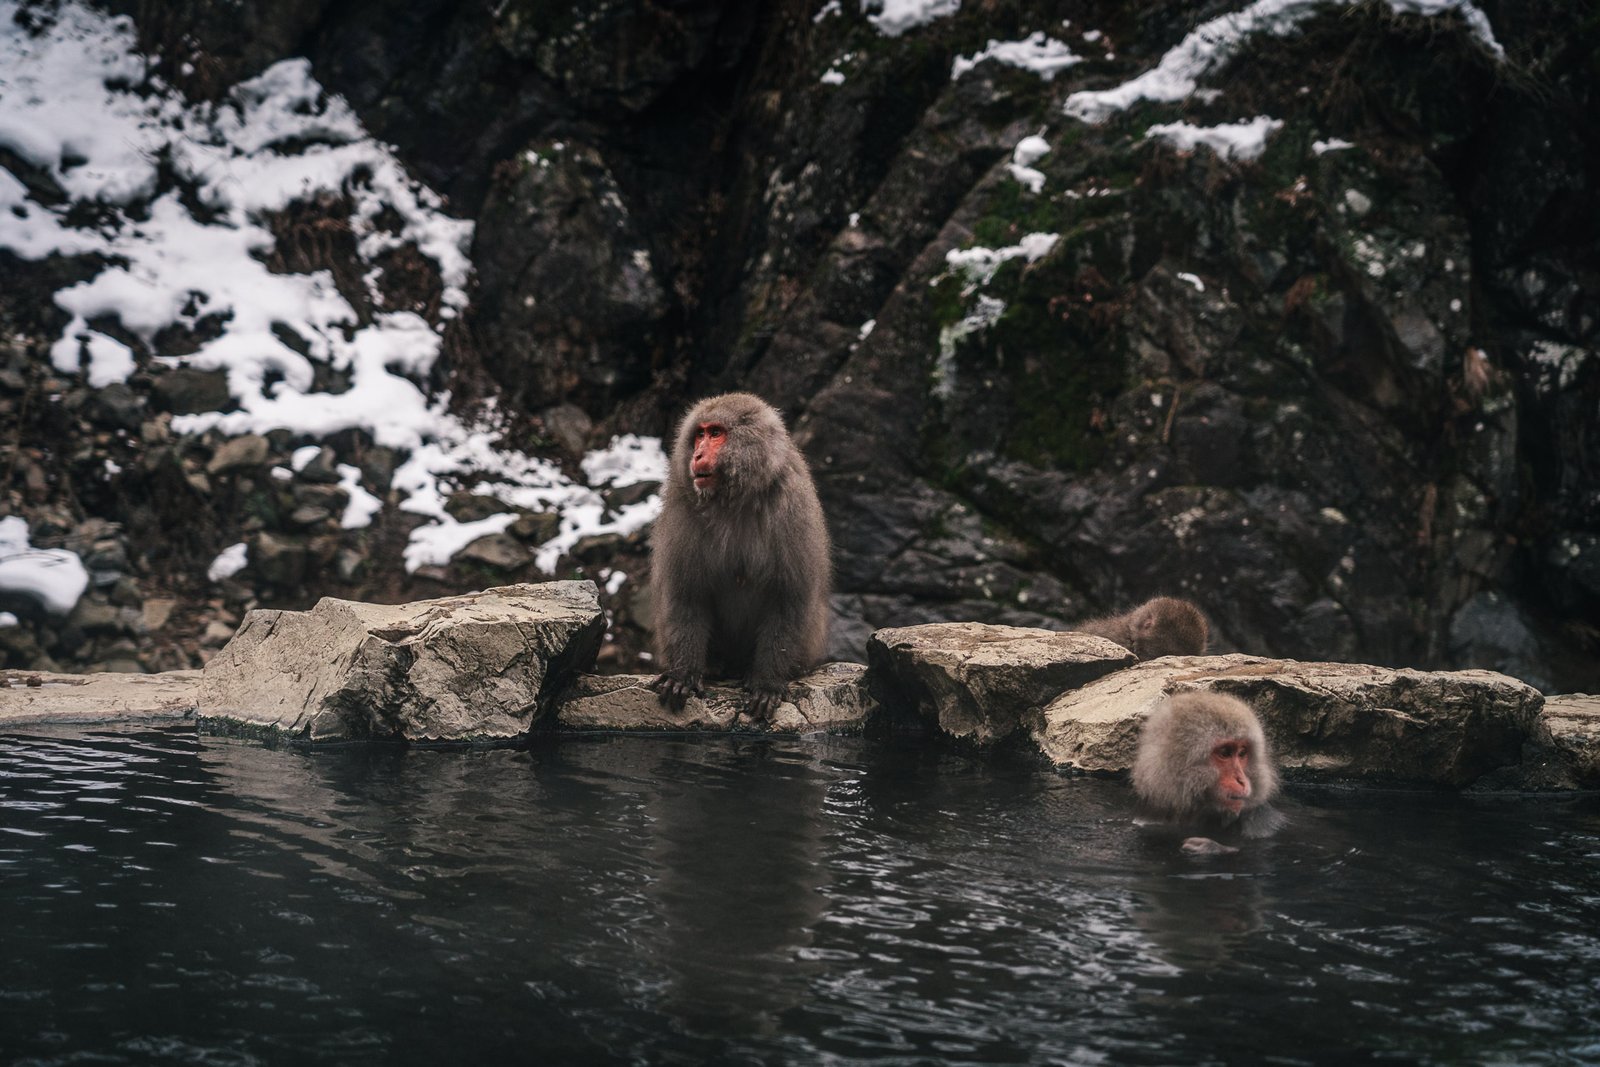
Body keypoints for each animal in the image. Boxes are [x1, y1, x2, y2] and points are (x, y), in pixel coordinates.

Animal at [649, 392, 831, 720]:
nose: (697, 455)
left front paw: (768, 683)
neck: (735, 499)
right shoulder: (682, 505)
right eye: (699, 435)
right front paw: (683, 674)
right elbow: (686, 594)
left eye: (715, 433)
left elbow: (789, 597)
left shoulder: (793, 505)